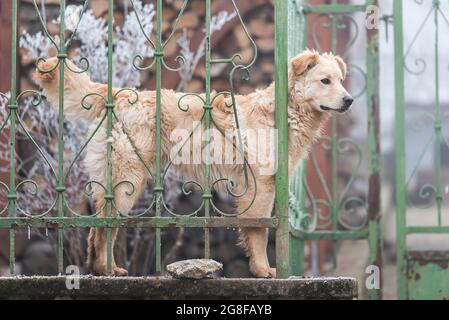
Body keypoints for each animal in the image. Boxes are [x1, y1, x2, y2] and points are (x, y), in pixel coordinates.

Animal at [33, 49, 352, 278]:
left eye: (340, 80)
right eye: (325, 81)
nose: (349, 100)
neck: (284, 112)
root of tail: (119, 94)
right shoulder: (260, 185)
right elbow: (259, 232)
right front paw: (262, 271)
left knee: (96, 227)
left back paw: (102, 268)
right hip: (129, 180)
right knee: (106, 227)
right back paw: (107, 269)